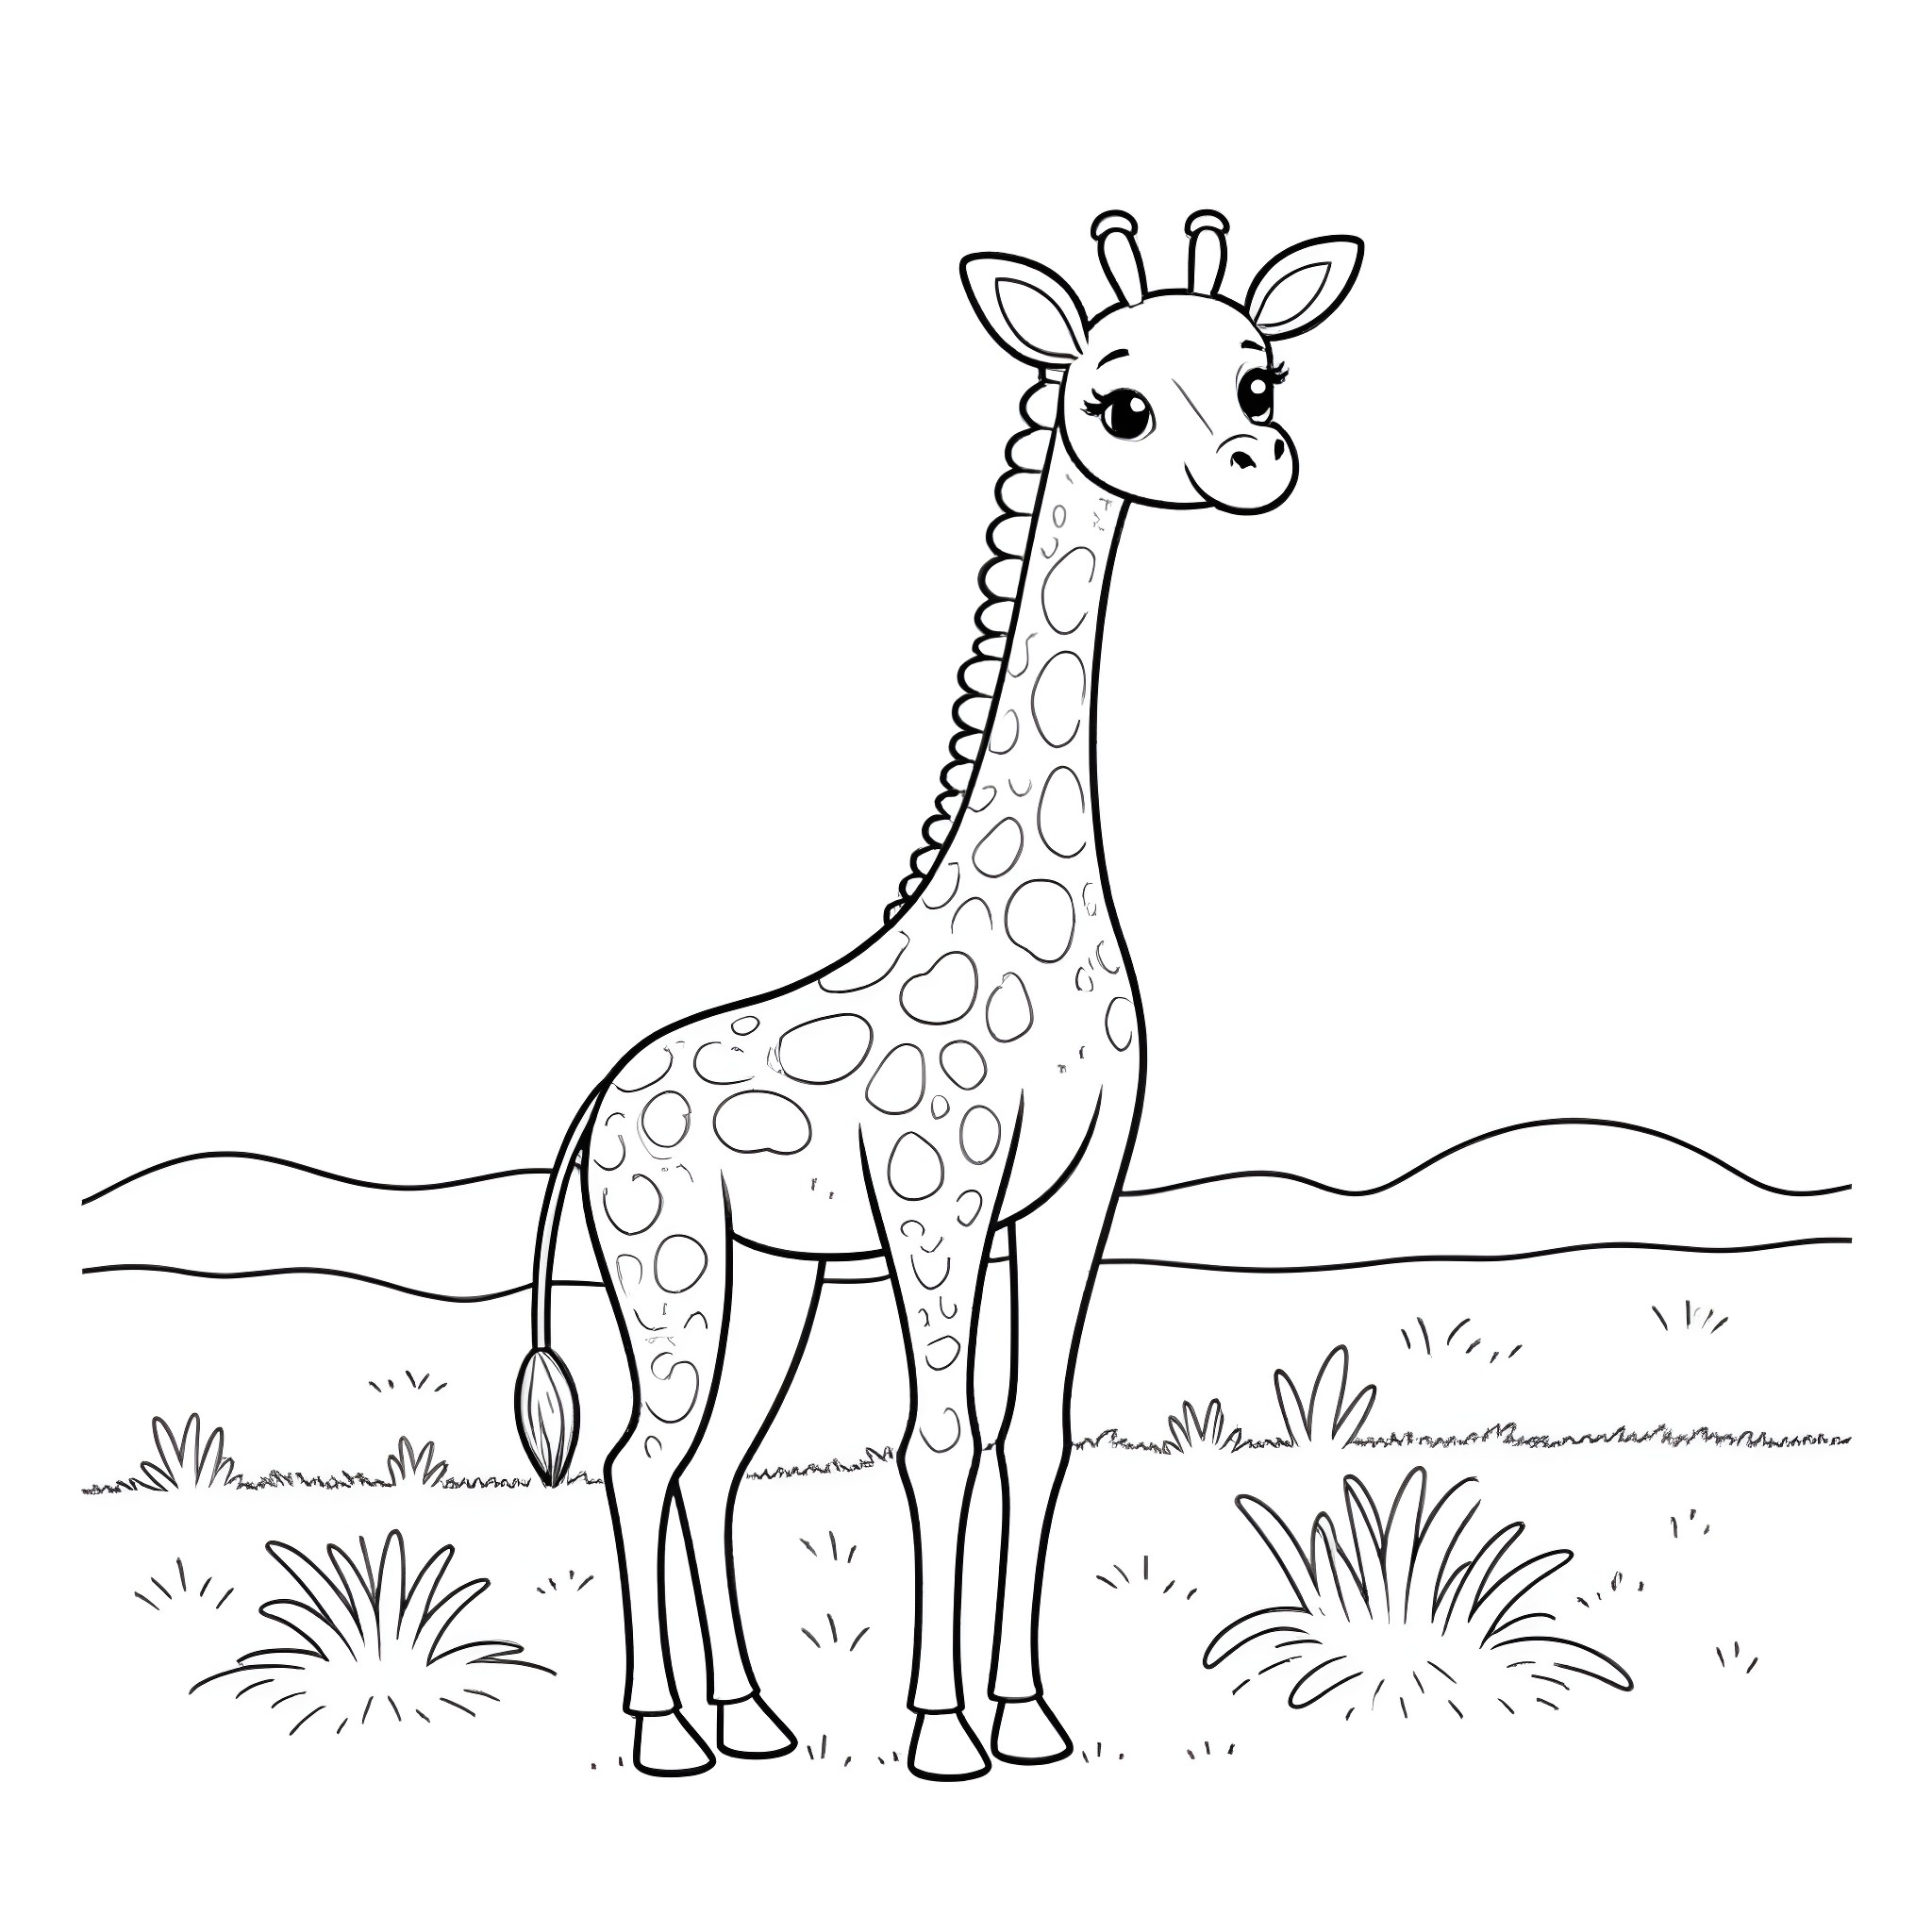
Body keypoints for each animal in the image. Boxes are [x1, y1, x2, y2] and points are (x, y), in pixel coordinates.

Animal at [514, 209, 1364, 1780]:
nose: (1255, 464)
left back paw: (752, 1717)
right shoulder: (937, 1192)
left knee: (714, 1464)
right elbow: (938, 1440)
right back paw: (665, 1731)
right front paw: (942, 1731)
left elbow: (1037, 1435)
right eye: (1118, 405)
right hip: (668, 1257)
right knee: (638, 1454)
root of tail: (598, 1102)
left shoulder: (1078, 1192)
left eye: (1260, 375)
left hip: (773, 1276)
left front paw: (1026, 1715)